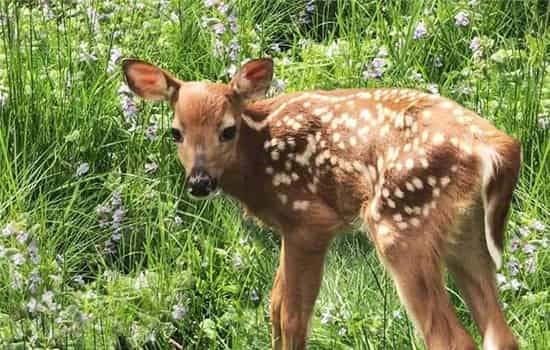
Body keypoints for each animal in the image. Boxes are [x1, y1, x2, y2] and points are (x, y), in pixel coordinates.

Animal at [124, 58, 520, 350]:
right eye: (176, 132)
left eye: (227, 130)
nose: (200, 182)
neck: (259, 160)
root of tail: (495, 146)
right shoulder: (289, 228)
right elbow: (275, 306)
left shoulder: (308, 220)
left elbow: (292, 317)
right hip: (465, 231)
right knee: (501, 336)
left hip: (401, 222)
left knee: (451, 339)